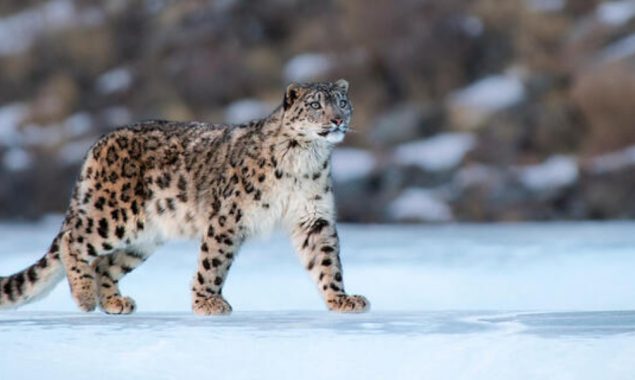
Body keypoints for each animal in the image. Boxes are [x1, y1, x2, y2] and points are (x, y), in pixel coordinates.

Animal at [0, 79, 372, 314]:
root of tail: (99, 143)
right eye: (315, 105)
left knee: (105, 264)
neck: (305, 160)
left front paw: (341, 298)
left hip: (143, 238)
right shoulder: (228, 216)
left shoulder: (313, 217)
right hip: (114, 217)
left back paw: (115, 303)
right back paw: (84, 297)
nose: (337, 120)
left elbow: (326, 261)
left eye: (341, 102)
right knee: (73, 240)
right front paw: (207, 302)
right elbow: (213, 262)